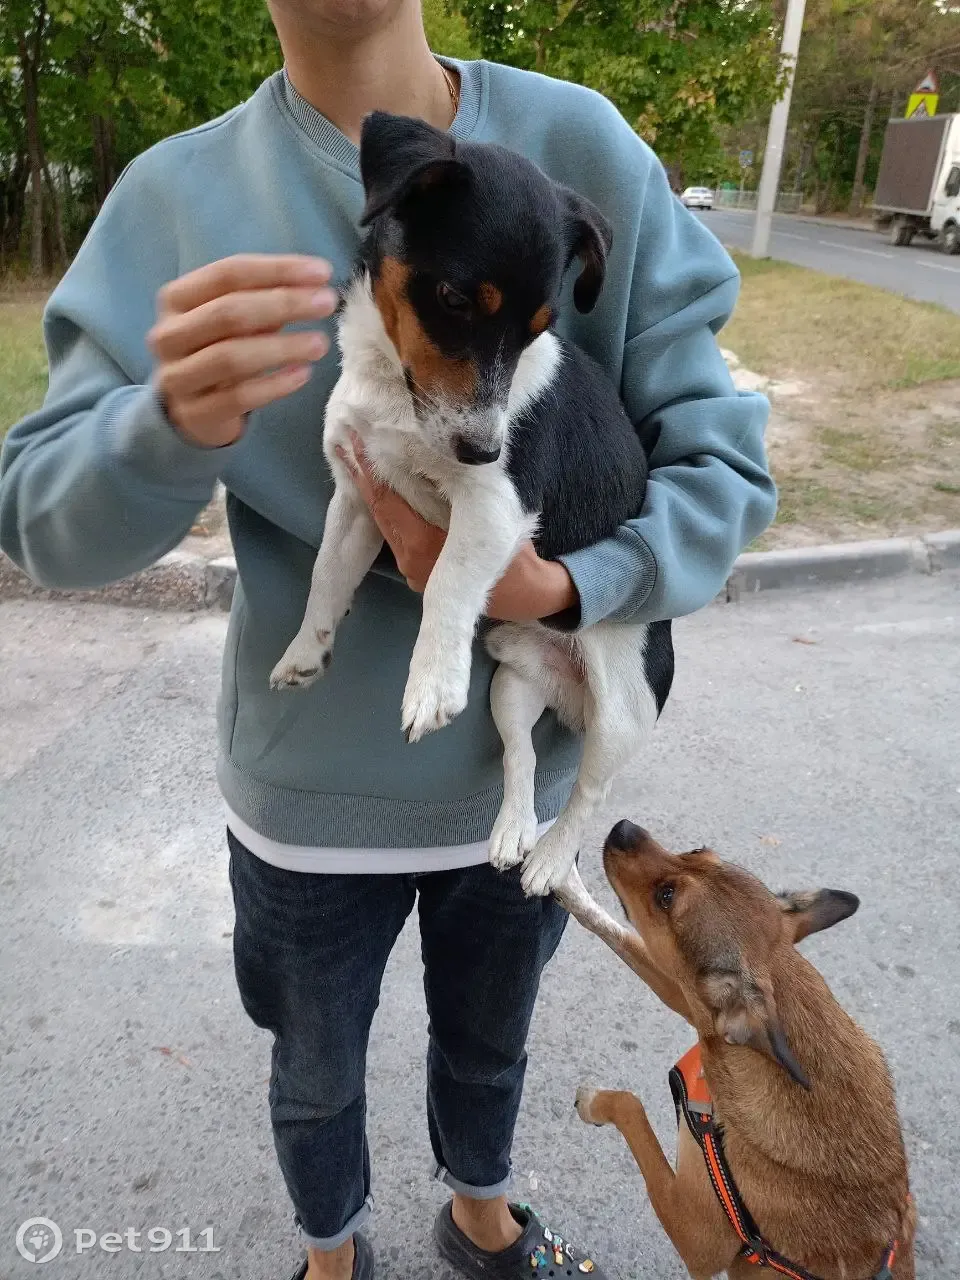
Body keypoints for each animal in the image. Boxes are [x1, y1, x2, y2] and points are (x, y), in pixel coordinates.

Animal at [271, 112, 675, 901]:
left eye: (540, 326)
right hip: (512, 680)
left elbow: (449, 583)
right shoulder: (357, 495)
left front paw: (429, 680)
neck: (398, 394)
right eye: (457, 300)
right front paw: (307, 649)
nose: (485, 448)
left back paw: (549, 858)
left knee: (591, 793)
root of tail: (573, 699)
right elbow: (326, 579)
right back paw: (515, 831)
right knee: (521, 760)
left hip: (622, 709)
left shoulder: (496, 508)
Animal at [560, 819, 921, 1280]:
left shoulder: (694, 1234)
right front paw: (565, 883)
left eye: (666, 896)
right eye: (697, 851)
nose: (623, 827)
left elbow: (630, 1106)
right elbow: (621, 936)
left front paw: (594, 1103)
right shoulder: (693, 1002)